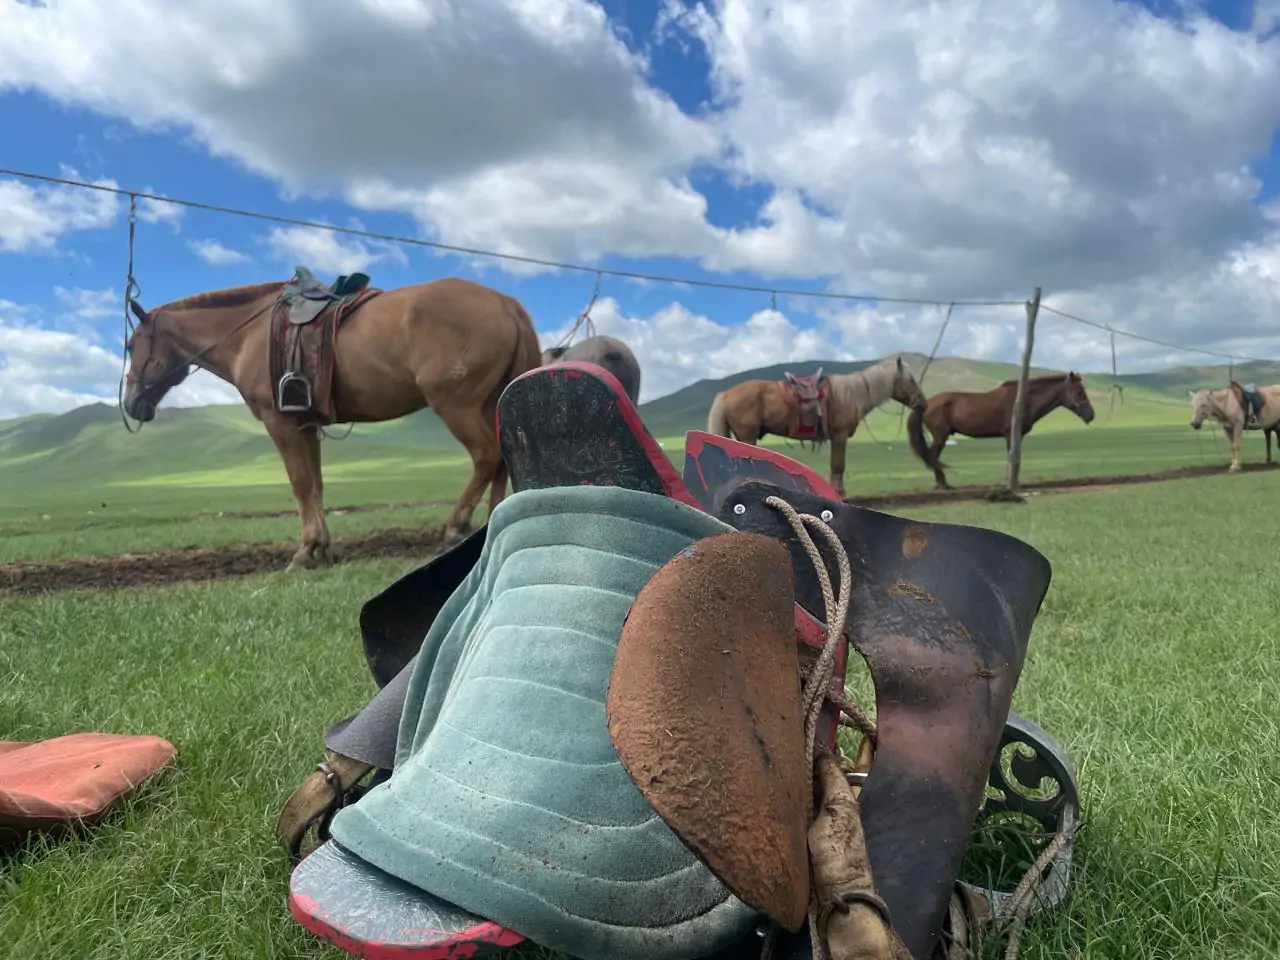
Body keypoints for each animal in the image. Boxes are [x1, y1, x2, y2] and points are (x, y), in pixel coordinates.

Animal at [120, 276, 540, 570]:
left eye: (130, 345)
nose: (131, 403)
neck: (248, 334)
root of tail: (506, 303)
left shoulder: (279, 422)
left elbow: (300, 485)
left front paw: (305, 551)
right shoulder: (306, 425)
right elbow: (317, 486)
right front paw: (322, 549)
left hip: (456, 404)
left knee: (486, 456)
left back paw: (455, 527)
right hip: (492, 403)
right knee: (502, 460)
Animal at [706, 358, 926, 499]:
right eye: (911, 380)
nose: (922, 403)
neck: (851, 395)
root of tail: (726, 394)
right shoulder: (839, 435)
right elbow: (838, 465)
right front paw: (840, 494)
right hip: (747, 436)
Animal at [906, 371, 1095, 491]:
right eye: (1079, 392)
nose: (1091, 415)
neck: (1024, 402)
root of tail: (926, 403)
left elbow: (1012, 457)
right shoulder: (1011, 435)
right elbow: (1013, 457)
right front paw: (1013, 484)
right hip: (941, 436)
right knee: (933, 456)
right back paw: (943, 484)